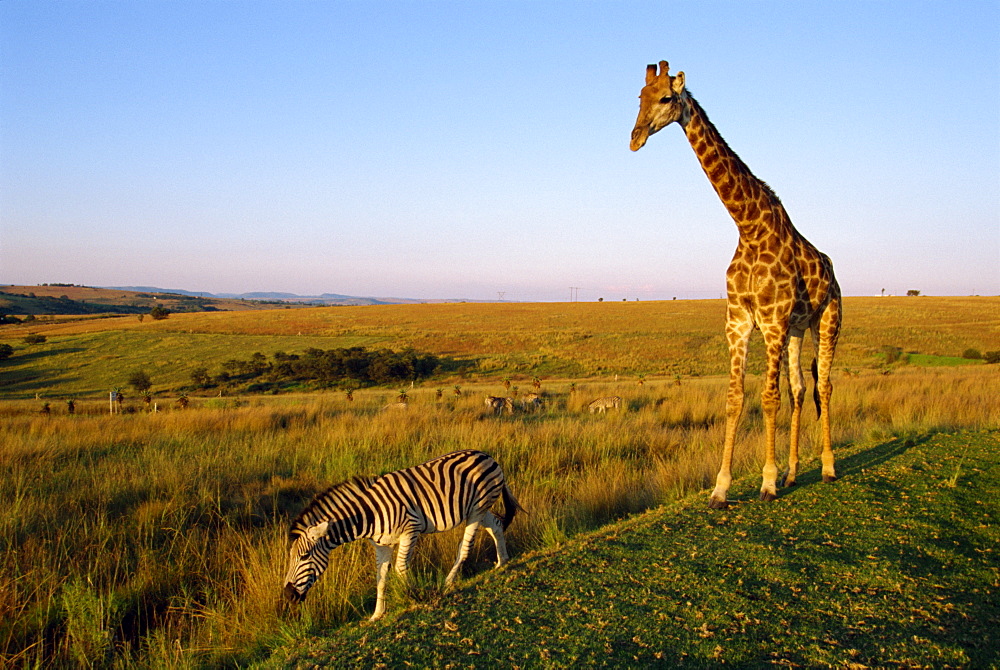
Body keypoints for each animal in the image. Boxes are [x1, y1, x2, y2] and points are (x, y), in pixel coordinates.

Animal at [280, 448, 516, 624]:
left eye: (304, 557)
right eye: (291, 558)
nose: (288, 595)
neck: (369, 514)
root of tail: (486, 455)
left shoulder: (410, 531)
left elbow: (401, 569)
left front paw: (414, 596)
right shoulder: (381, 545)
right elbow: (380, 577)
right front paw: (377, 614)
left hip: (477, 508)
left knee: (465, 546)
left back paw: (449, 581)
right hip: (476, 510)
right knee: (496, 525)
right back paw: (502, 561)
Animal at [632, 63, 844, 510]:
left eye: (665, 98)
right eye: (639, 98)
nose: (635, 138)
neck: (749, 227)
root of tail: (833, 271)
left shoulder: (772, 321)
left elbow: (768, 398)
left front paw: (766, 482)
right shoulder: (739, 321)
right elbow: (735, 399)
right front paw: (721, 487)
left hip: (828, 320)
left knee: (825, 384)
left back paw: (828, 468)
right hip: (798, 329)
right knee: (801, 388)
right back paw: (794, 472)